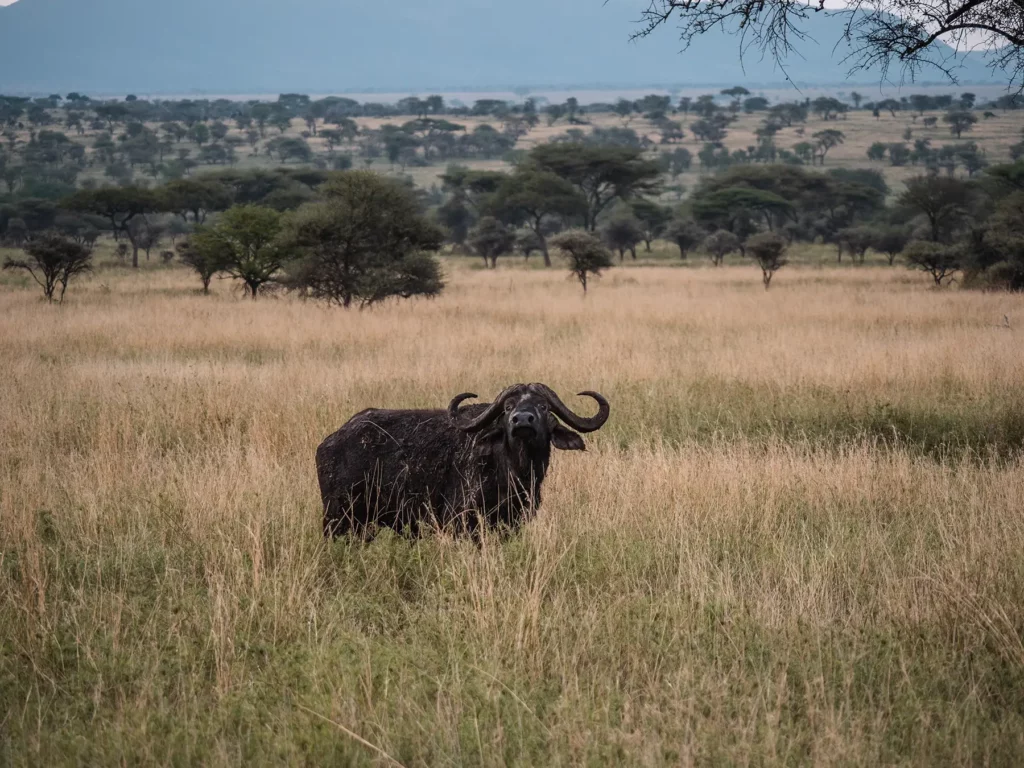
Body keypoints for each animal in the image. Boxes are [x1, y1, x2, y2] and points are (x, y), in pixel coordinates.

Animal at [316, 383, 610, 538]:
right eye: (507, 408)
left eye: (543, 406)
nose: (522, 420)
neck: (514, 473)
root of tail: (331, 441)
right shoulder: (460, 522)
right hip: (338, 519)